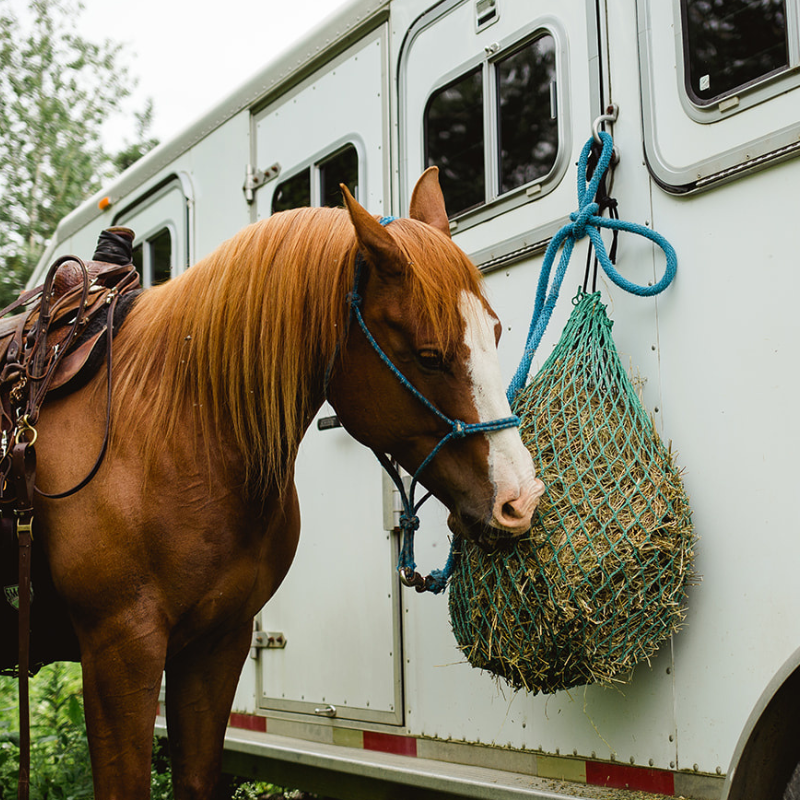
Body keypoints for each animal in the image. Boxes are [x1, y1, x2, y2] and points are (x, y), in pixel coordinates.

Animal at [28, 166, 548, 796]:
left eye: (494, 332)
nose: (520, 500)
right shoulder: (119, 652)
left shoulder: (216, 645)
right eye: (429, 356)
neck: (167, 435)